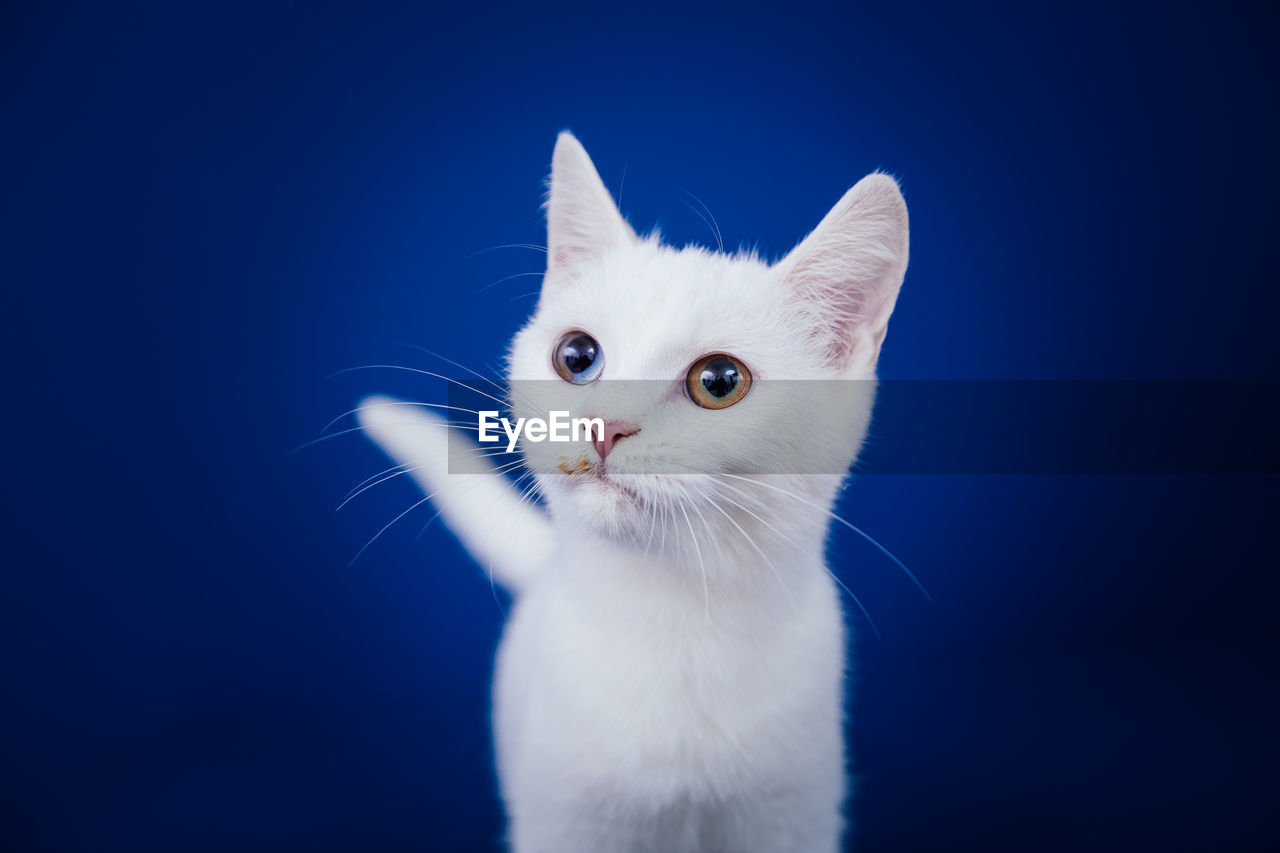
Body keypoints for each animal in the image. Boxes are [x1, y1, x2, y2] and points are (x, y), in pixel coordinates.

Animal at [355, 133, 906, 850]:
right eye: (577, 355)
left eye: (719, 380)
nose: (603, 425)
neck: (673, 623)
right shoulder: (562, 818)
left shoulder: (792, 816)